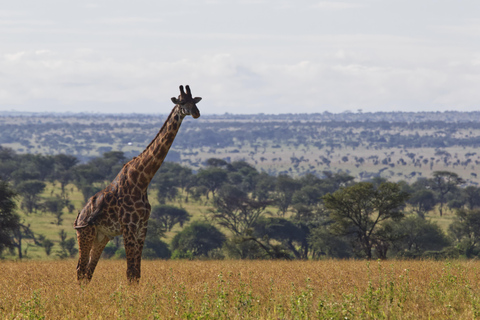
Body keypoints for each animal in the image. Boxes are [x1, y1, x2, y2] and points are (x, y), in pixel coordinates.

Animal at [74, 85, 202, 282]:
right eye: (182, 102)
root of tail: (80, 215)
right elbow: (130, 272)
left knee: (88, 271)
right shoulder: (128, 226)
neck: (142, 181)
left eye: (194, 101)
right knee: (80, 270)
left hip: (101, 237)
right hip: (85, 234)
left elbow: (137, 273)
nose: (196, 113)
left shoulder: (143, 226)